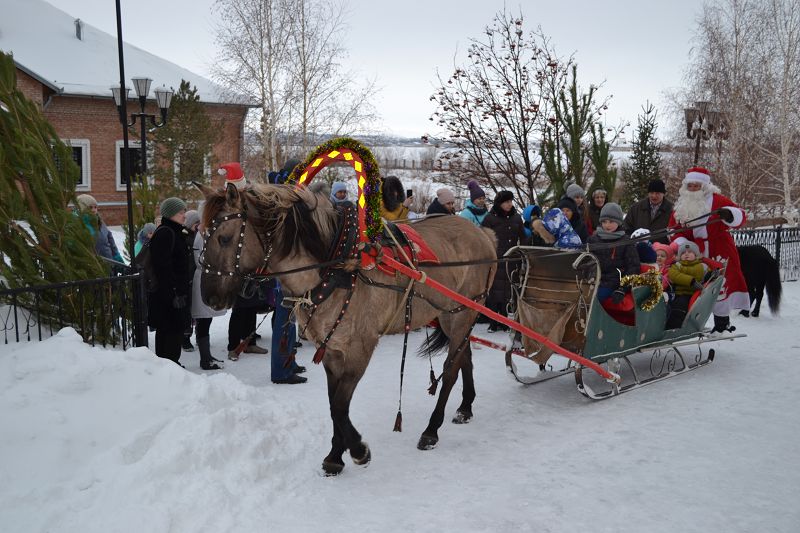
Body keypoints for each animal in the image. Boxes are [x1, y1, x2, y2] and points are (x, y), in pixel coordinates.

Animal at [198, 182, 498, 475]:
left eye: (224, 238)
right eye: (203, 235)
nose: (209, 297)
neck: (336, 268)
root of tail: (482, 233)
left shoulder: (358, 349)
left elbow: (341, 405)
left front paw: (357, 450)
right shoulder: (331, 349)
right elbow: (334, 404)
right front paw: (335, 455)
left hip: (461, 314)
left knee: (451, 370)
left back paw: (432, 430)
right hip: (454, 316)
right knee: (464, 357)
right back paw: (465, 407)